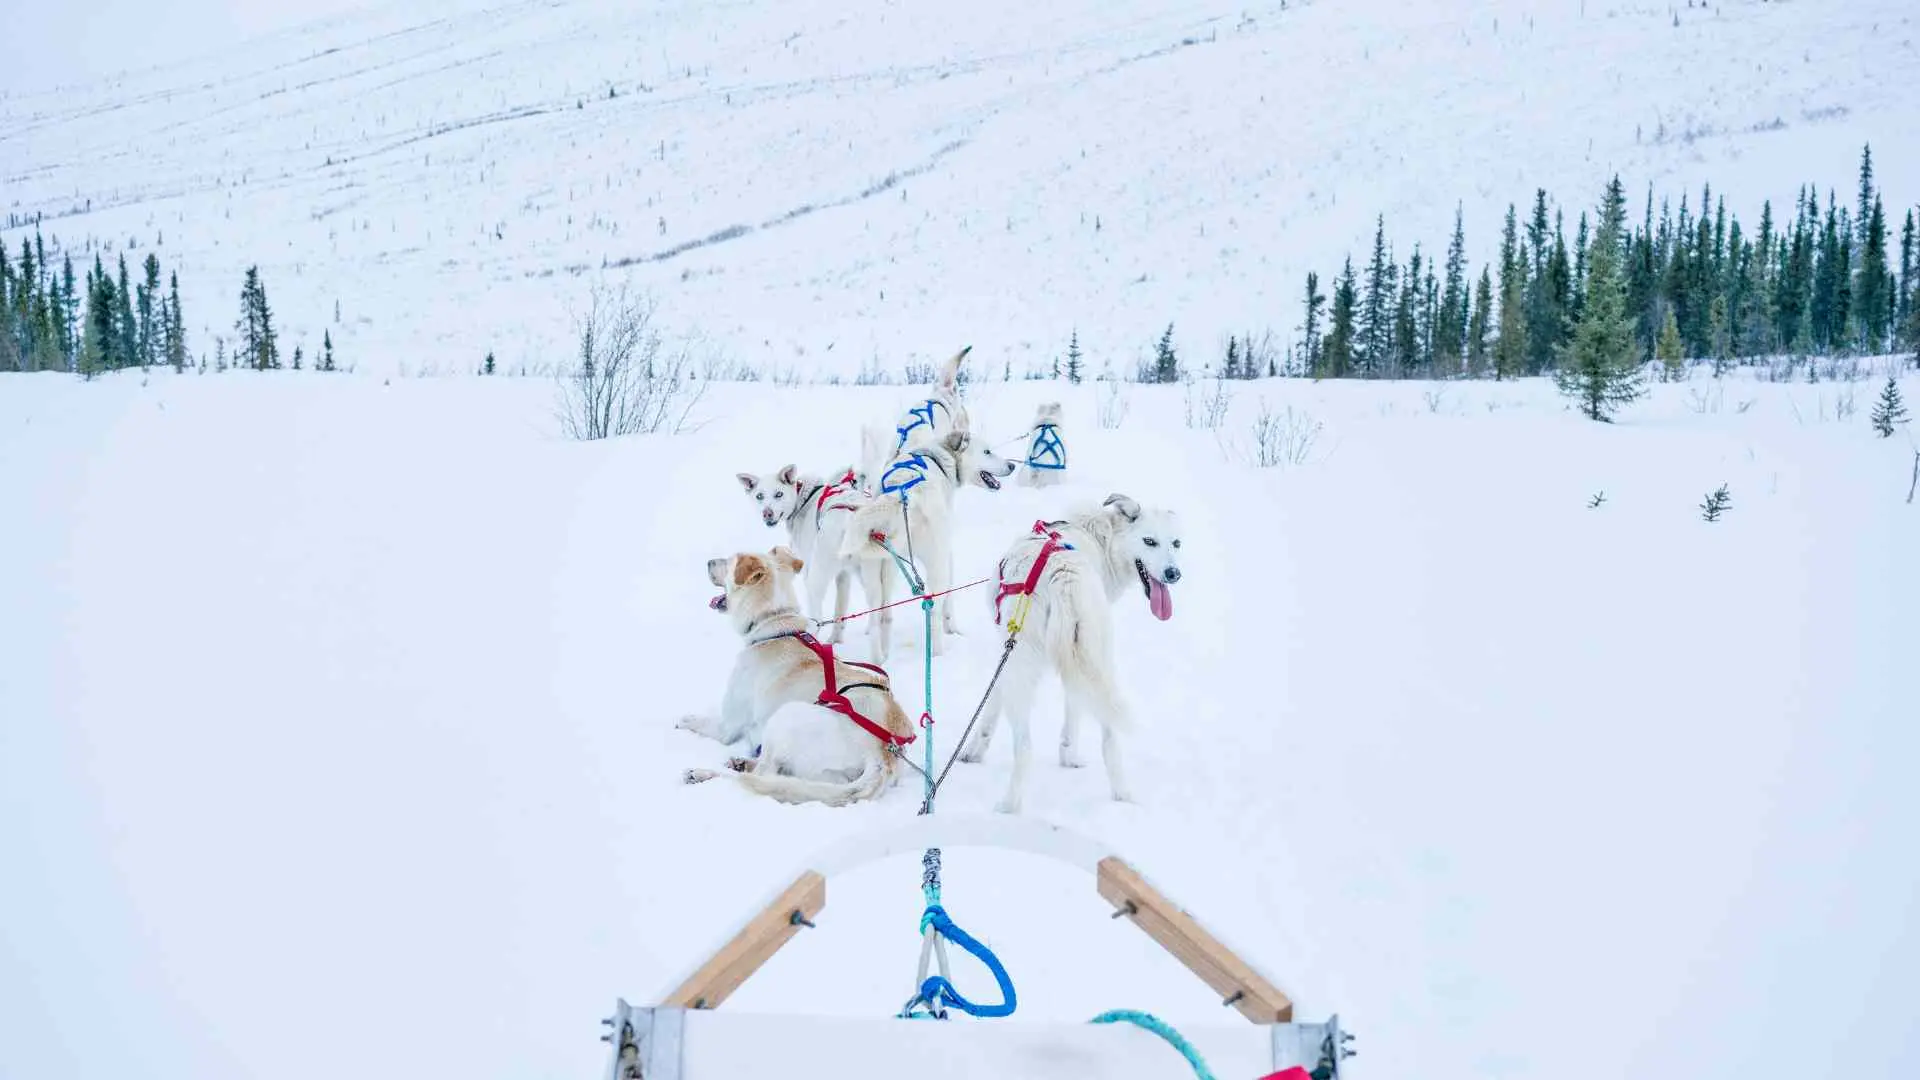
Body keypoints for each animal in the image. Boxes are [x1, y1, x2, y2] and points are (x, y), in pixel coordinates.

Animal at [679, 541, 917, 803]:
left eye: (729, 562)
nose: (709, 562)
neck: (773, 624)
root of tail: (883, 757)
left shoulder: (728, 726)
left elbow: (703, 723)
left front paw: (685, 720)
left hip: (785, 716)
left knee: (761, 775)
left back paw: (706, 773)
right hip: (828, 776)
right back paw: (741, 762)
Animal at [737, 461, 867, 638]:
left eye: (779, 494)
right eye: (759, 496)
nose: (767, 513)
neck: (803, 500)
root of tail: (850, 520)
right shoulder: (844, 574)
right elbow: (840, 612)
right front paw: (836, 640)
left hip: (815, 578)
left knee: (817, 618)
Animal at [840, 428, 1021, 657]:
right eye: (987, 451)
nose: (1012, 466)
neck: (938, 457)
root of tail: (903, 494)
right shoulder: (946, 553)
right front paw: (952, 628)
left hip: (879, 568)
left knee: (879, 615)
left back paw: (880, 658)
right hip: (934, 561)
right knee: (933, 608)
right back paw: (938, 653)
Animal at [952, 491, 1175, 810]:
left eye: (1175, 543)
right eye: (1149, 541)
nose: (1174, 573)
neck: (1098, 536)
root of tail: (1065, 573)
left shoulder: (1007, 653)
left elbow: (991, 704)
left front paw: (973, 750)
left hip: (1022, 663)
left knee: (1025, 747)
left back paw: (1009, 806)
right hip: (1100, 658)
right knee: (1109, 737)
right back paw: (1122, 795)